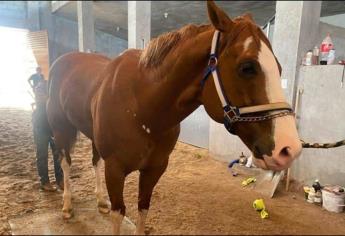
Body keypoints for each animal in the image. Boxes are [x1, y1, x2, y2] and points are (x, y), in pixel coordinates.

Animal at [47, 1, 300, 234]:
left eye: (278, 67)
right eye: (247, 67)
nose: (289, 149)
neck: (142, 107)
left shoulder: (154, 169)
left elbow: (143, 208)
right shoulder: (115, 170)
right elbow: (119, 214)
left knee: (94, 160)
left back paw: (100, 201)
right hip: (60, 129)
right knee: (65, 162)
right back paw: (67, 207)